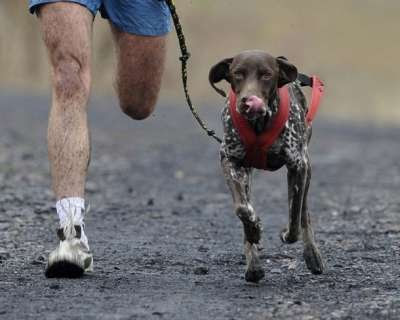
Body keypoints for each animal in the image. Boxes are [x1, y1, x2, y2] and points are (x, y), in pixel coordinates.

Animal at [209, 50, 324, 282]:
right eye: (238, 74)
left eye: (266, 75)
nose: (248, 101)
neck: (259, 126)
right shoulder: (229, 160)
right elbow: (242, 208)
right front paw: (254, 229)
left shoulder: (297, 166)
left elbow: (294, 220)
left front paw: (286, 234)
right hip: (246, 174)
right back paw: (253, 264)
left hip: (306, 168)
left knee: (303, 213)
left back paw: (312, 254)